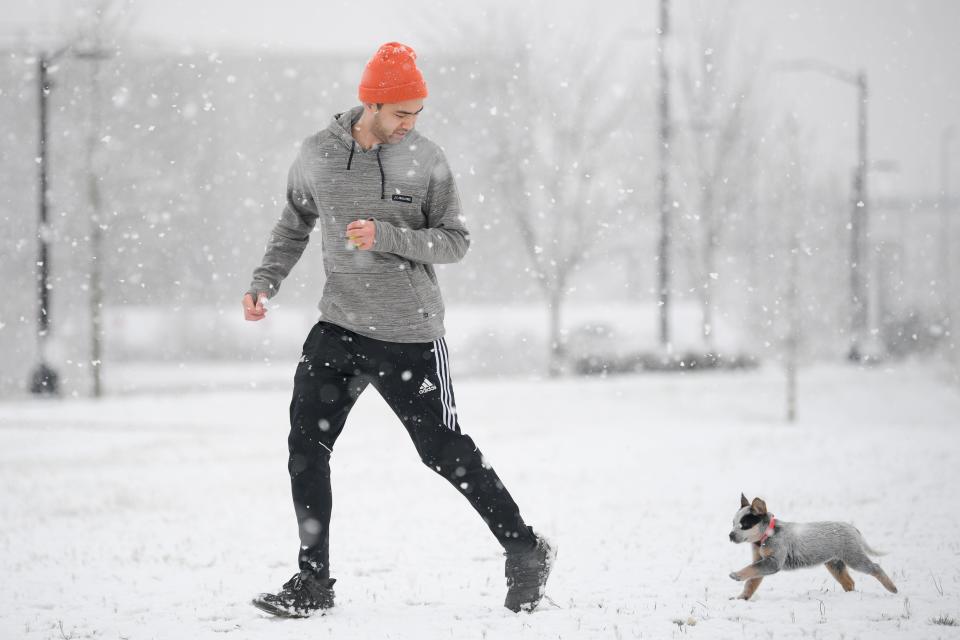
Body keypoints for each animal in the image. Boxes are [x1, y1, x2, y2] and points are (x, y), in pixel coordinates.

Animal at [732, 496, 896, 600]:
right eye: (732, 523)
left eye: (744, 525)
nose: (730, 535)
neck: (766, 535)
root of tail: (852, 527)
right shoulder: (760, 561)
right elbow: (751, 582)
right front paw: (741, 598)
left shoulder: (773, 562)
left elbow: (750, 570)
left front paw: (736, 575)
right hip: (834, 564)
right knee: (849, 582)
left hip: (854, 557)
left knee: (875, 567)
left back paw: (892, 589)